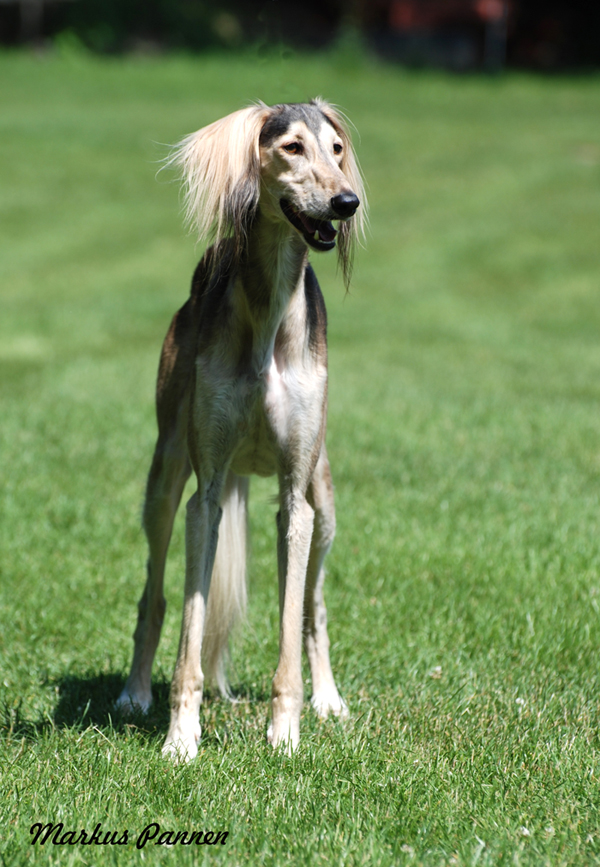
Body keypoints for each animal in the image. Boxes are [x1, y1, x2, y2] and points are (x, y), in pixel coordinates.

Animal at [116, 99, 366, 761]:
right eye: (292, 147)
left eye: (336, 149)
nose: (347, 202)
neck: (269, 311)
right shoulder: (205, 496)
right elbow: (188, 631)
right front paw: (181, 738)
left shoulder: (296, 500)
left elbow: (292, 624)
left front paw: (286, 733)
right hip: (165, 477)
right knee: (154, 595)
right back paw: (133, 693)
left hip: (325, 502)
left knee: (313, 609)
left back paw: (328, 699)